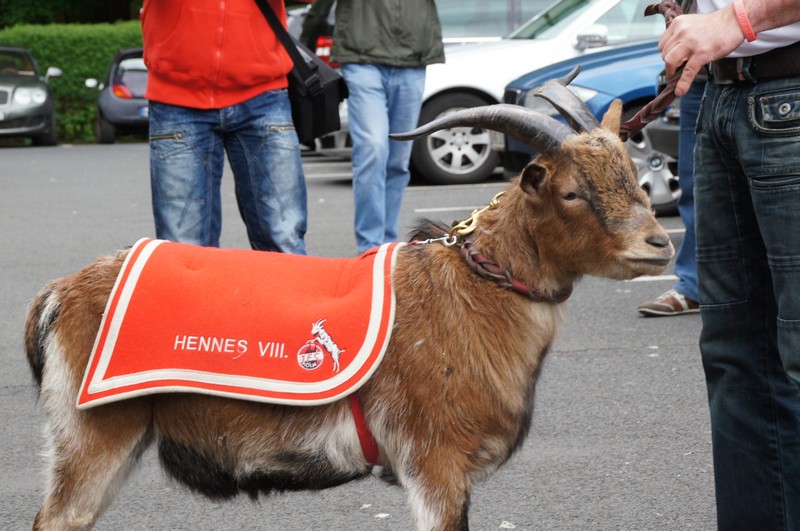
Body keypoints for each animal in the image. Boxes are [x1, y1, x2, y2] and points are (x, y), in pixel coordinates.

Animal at [24, 69, 674, 530]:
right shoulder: (433, 464)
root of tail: (58, 293)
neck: (469, 290)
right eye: (570, 191)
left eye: (632, 172)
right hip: (92, 436)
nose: (660, 244)